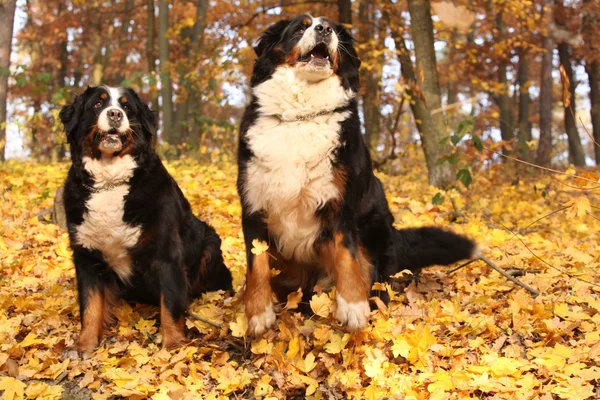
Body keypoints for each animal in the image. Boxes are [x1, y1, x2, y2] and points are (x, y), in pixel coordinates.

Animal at [58, 86, 232, 352]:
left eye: (127, 107)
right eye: (97, 104)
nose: (115, 114)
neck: (109, 183)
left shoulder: (166, 252)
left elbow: (170, 305)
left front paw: (173, 347)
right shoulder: (86, 255)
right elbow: (90, 306)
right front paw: (84, 346)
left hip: (210, 244)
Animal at [237, 14, 476, 336]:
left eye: (332, 28)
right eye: (300, 28)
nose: (324, 30)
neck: (301, 117)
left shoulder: (340, 203)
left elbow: (346, 255)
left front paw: (352, 306)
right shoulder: (253, 203)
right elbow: (257, 263)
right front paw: (257, 311)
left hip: (375, 229)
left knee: (372, 277)